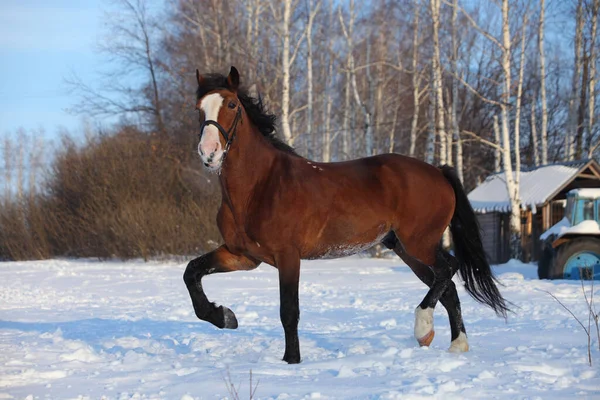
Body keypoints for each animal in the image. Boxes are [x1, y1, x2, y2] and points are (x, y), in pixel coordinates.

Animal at [183, 67, 506, 364]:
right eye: (199, 108)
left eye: (231, 105)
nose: (209, 152)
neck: (260, 186)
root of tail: (438, 171)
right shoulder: (243, 256)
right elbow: (192, 272)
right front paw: (224, 316)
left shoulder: (287, 256)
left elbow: (289, 311)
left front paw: (291, 361)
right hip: (406, 249)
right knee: (447, 285)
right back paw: (455, 345)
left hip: (420, 243)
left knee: (449, 269)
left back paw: (423, 328)